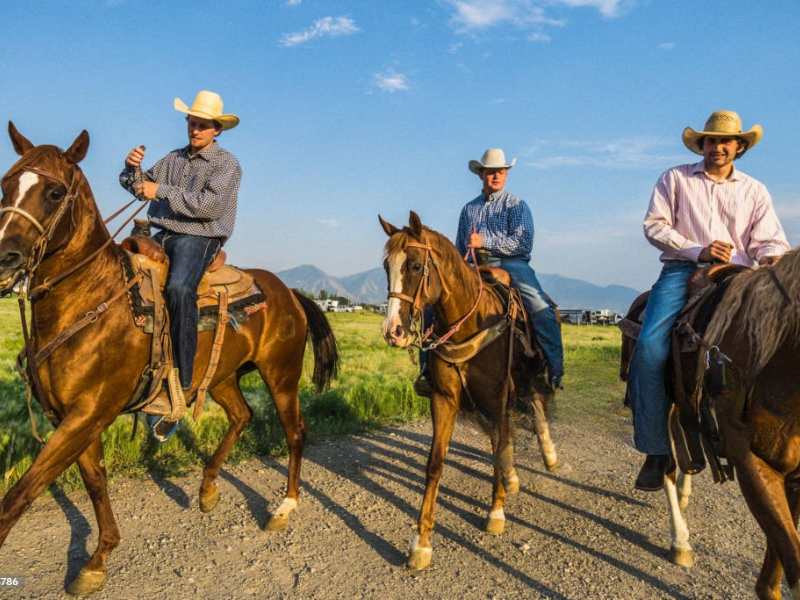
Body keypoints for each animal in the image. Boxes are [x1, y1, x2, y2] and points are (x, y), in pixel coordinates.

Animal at [0, 123, 338, 595]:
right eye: (5, 184)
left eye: (54, 192)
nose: (4, 258)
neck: (92, 297)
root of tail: (289, 293)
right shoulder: (68, 415)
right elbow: (95, 480)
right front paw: (99, 559)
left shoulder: (87, 413)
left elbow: (22, 494)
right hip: (222, 378)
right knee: (242, 415)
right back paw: (208, 488)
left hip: (282, 375)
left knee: (295, 431)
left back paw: (284, 508)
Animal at [379, 211, 558, 570]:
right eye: (385, 266)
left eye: (416, 266)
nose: (393, 332)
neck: (470, 321)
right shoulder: (444, 399)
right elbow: (435, 463)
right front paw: (421, 543)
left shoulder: (497, 395)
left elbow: (499, 448)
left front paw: (496, 513)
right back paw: (512, 477)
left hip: (528, 374)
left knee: (534, 407)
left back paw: (549, 456)